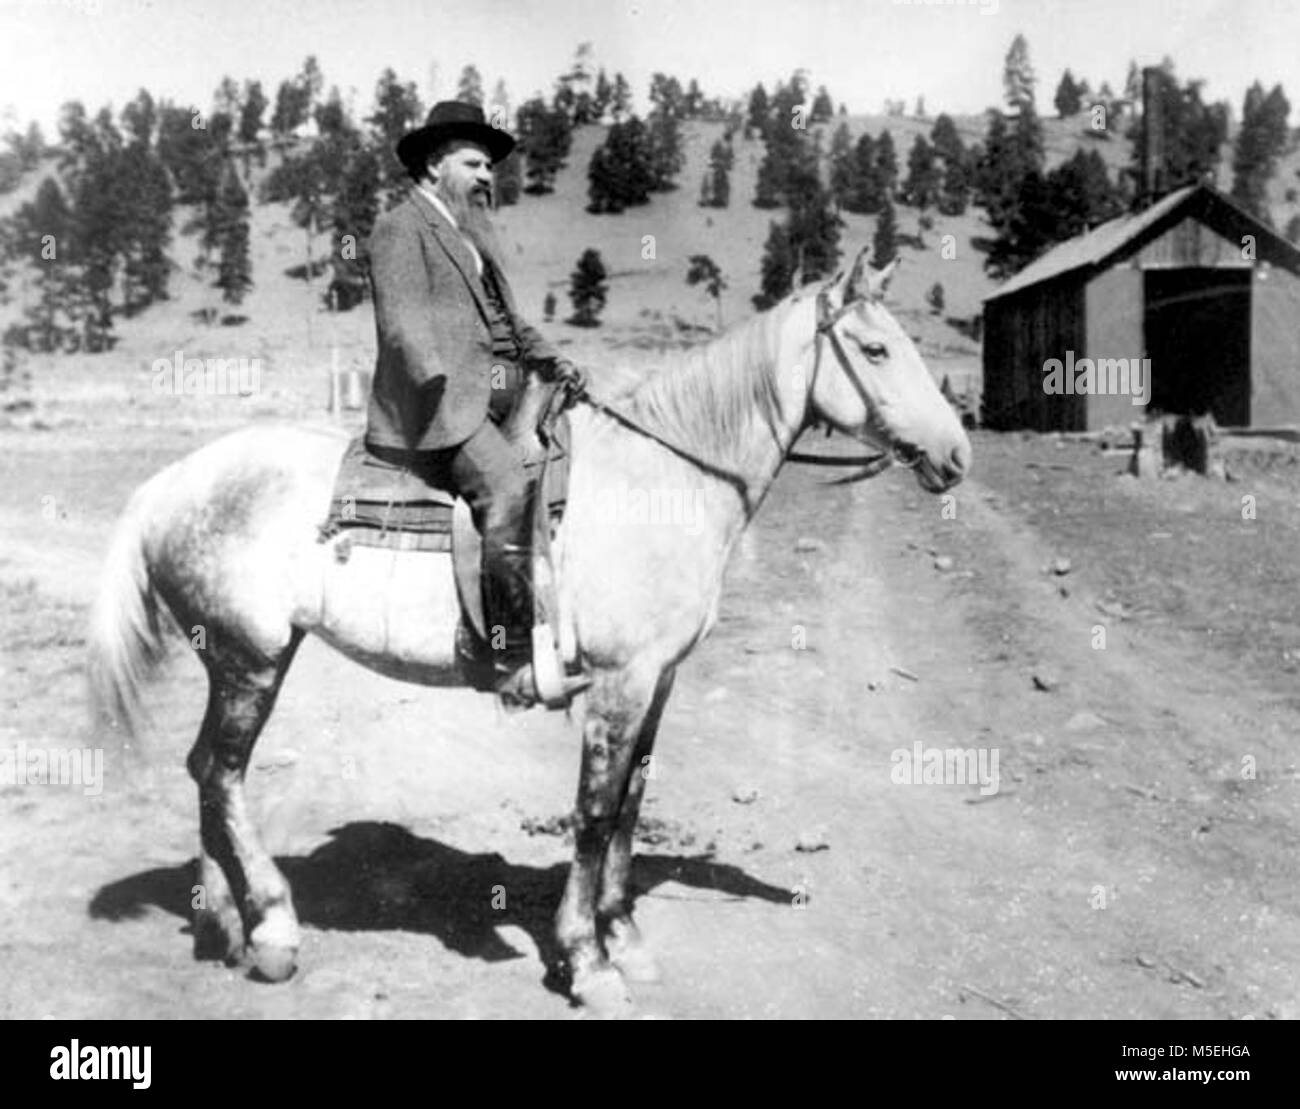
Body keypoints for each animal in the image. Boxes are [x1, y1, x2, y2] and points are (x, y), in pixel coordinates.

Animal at [89, 253, 967, 1014]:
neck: (663, 480)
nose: (956, 454)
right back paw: (273, 929)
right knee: (222, 772)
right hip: (252, 659)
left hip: (233, 660)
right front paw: (587, 960)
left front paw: (626, 937)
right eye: (877, 349)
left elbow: (632, 802)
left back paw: (225, 926)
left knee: (208, 771)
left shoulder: (659, 678)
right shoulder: (619, 680)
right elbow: (595, 811)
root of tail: (170, 482)